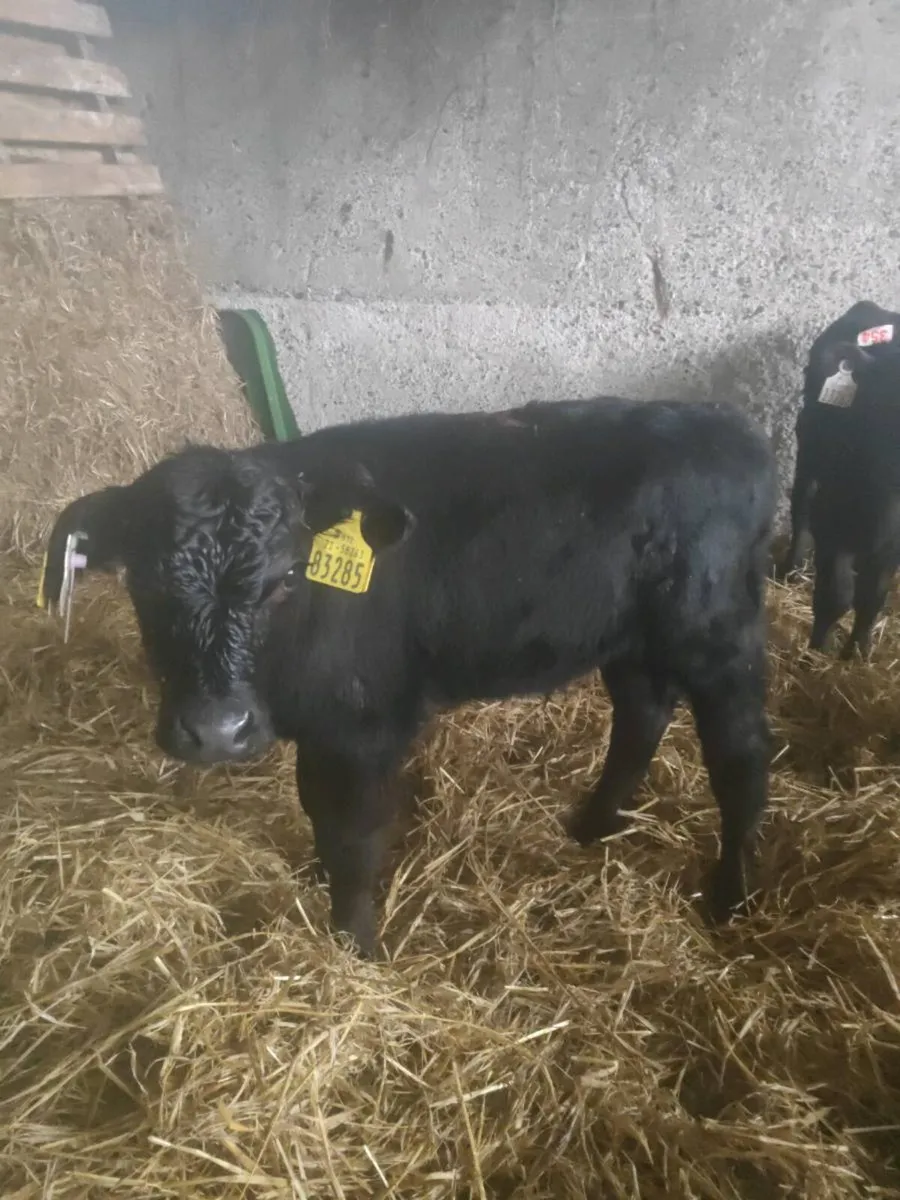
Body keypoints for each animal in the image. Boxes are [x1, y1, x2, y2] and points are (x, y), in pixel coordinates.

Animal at [42, 396, 776, 957]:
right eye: (146, 582)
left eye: (284, 580)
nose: (218, 731)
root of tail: (730, 431)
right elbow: (316, 813)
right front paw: (318, 885)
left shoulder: (363, 728)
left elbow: (352, 838)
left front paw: (354, 946)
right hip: (630, 640)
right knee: (641, 717)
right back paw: (592, 827)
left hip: (718, 637)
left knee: (740, 758)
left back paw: (729, 896)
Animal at [805, 343, 900, 658]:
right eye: (886, 401)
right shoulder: (829, 522)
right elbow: (836, 593)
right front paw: (817, 651)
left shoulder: (892, 547)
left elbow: (872, 597)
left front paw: (857, 651)